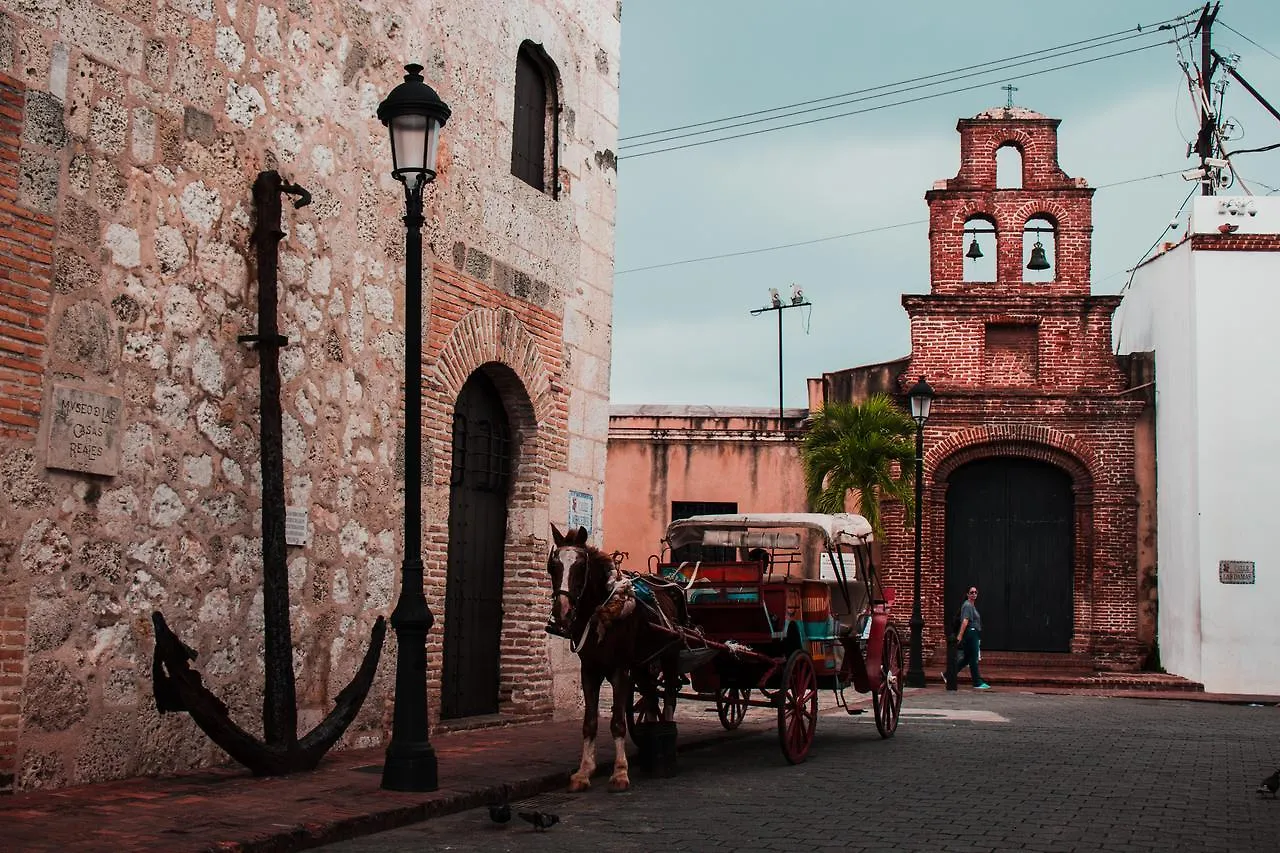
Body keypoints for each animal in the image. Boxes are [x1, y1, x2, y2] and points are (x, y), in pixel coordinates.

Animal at [550, 522, 691, 794]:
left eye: (581, 566)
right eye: (553, 565)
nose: (562, 612)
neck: (601, 614)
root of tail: (669, 584)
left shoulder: (620, 670)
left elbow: (617, 722)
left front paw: (620, 773)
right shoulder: (589, 670)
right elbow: (590, 722)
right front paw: (583, 772)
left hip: (669, 656)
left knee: (668, 698)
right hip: (644, 665)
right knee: (650, 697)